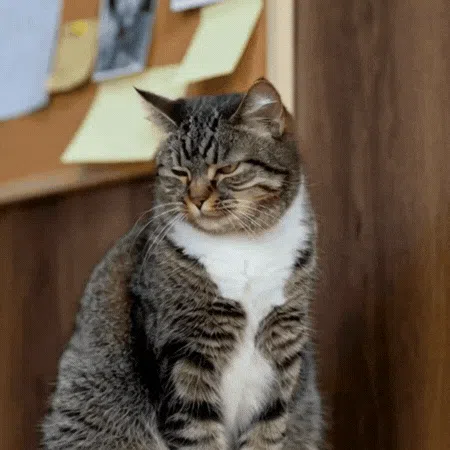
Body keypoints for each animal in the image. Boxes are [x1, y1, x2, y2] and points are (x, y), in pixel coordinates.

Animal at [43, 79, 323, 449]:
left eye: (227, 169)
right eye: (179, 172)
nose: (197, 199)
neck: (244, 246)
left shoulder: (284, 348)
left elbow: (268, 428)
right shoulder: (185, 354)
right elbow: (197, 430)